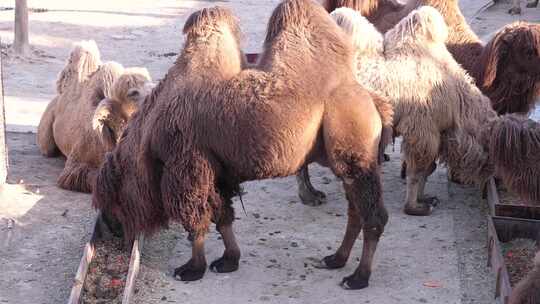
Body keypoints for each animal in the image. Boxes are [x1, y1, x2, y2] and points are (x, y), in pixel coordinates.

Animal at [94, 0, 392, 290]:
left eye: (113, 199)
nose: (111, 234)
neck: (150, 130)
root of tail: (374, 102)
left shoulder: (187, 166)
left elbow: (196, 220)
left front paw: (192, 269)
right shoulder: (216, 170)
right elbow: (222, 215)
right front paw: (228, 260)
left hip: (353, 144)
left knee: (372, 214)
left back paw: (358, 277)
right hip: (340, 155)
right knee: (355, 210)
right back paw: (336, 259)